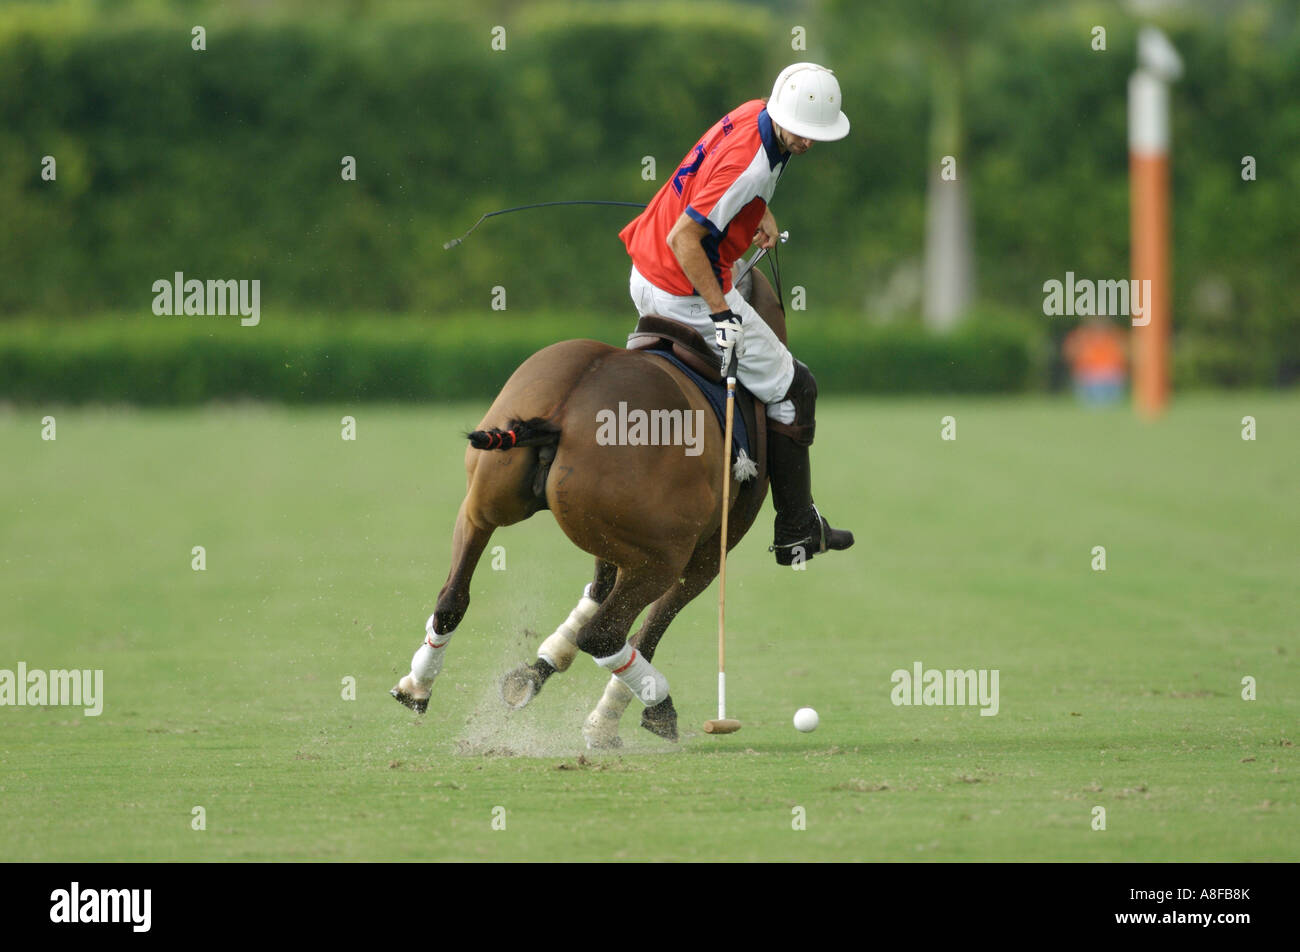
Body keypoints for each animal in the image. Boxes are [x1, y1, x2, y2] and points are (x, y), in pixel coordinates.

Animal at [390, 265, 785, 743]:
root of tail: (561, 412)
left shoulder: (614, 544)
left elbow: (595, 592)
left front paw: (533, 673)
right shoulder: (705, 555)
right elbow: (649, 624)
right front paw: (610, 714)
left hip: (482, 506)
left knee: (452, 598)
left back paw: (417, 685)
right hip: (662, 557)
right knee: (605, 634)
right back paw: (654, 705)